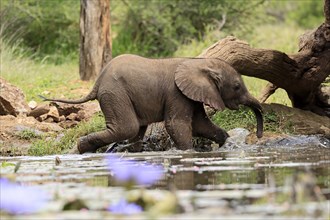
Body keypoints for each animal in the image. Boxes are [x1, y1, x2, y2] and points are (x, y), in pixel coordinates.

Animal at [41, 53, 262, 153]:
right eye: (237, 87)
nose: (259, 135)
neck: (198, 62)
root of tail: (97, 83)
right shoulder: (177, 93)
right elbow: (177, 124)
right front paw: (188, 152)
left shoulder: (192, 94)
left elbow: (200, 124)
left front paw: (225, 141)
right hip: (114, 93)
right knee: (127, 127)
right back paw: (83, 148)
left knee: (136, 129)